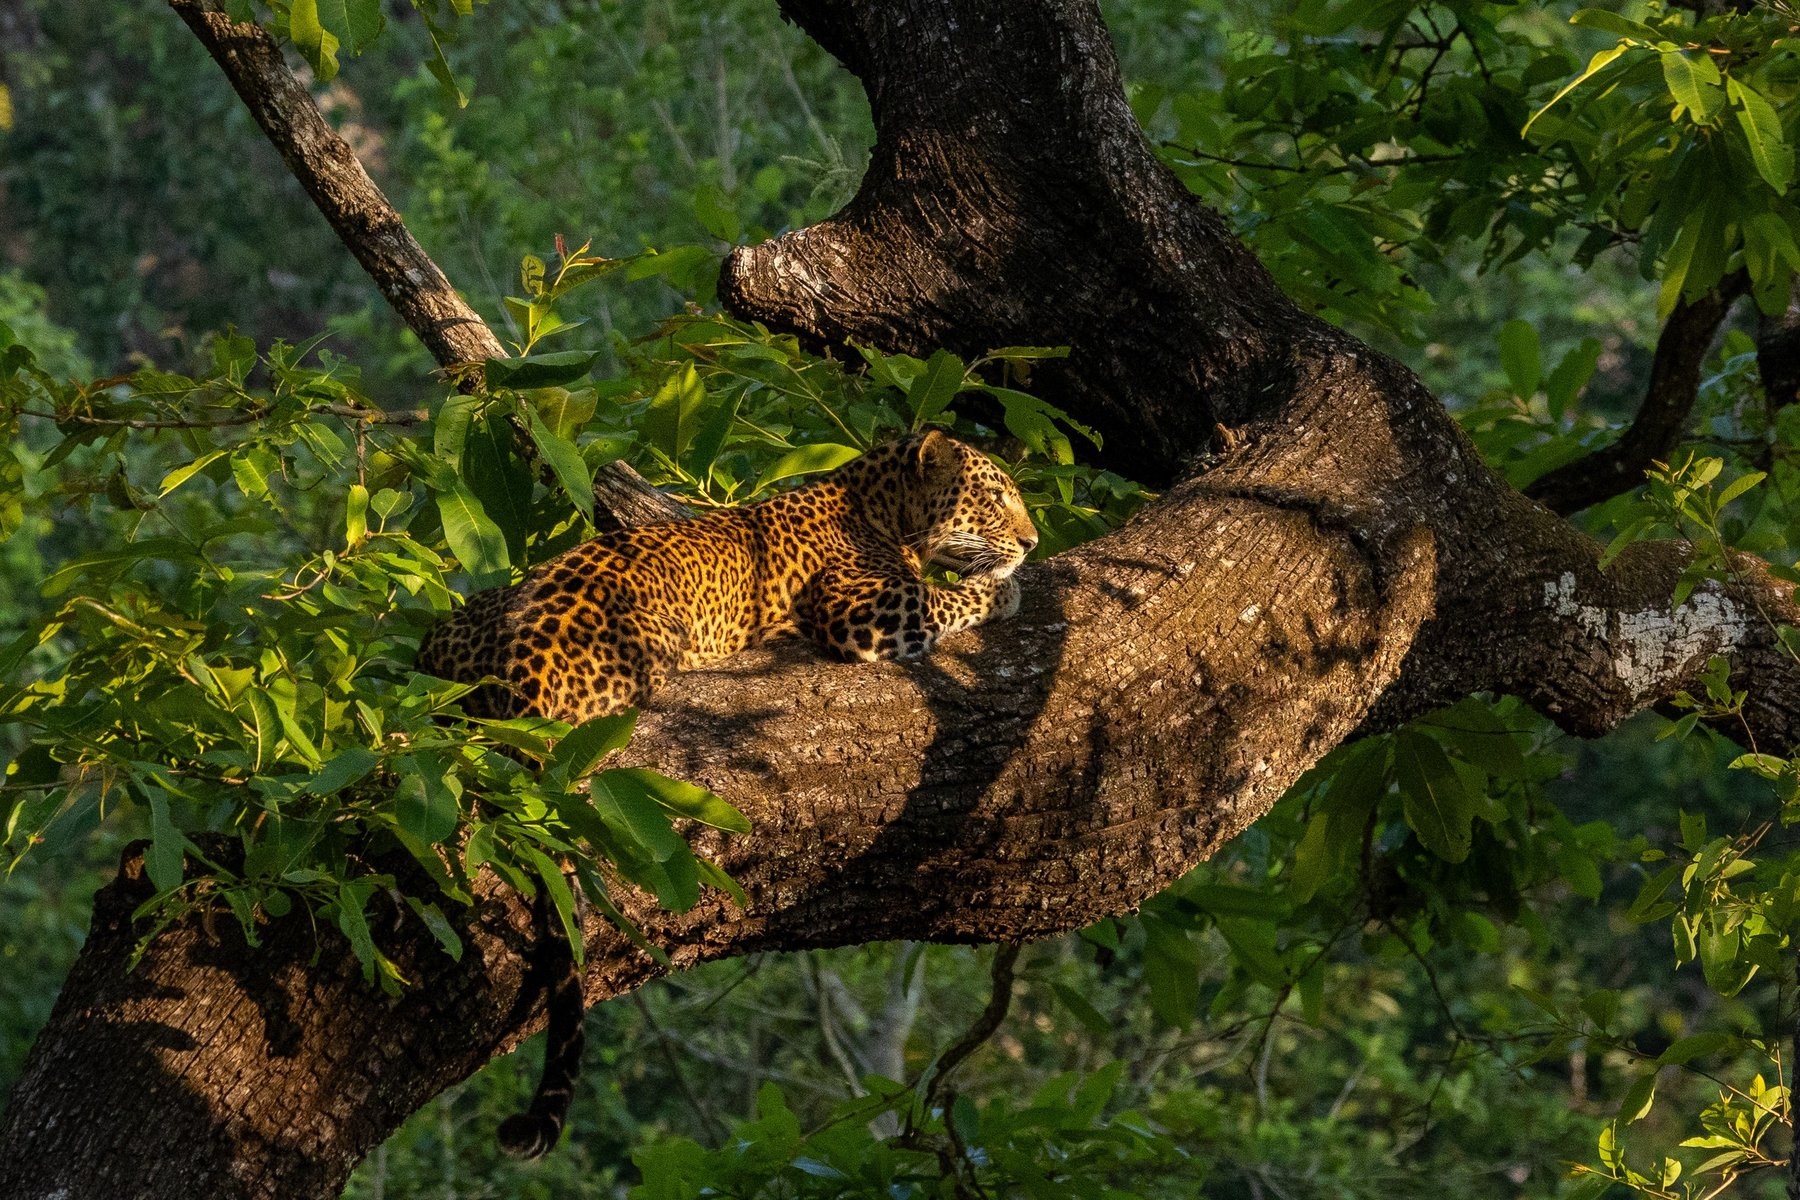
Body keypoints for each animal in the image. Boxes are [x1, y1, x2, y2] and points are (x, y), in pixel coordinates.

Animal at [413, 429, 1037, 1157]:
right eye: (993, 498)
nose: (1031, 542)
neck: (877, 501)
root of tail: (522, 675)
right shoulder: (861, 605)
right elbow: (944, 597)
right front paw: (1002, 588)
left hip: (453, 634)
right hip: (654, 650)